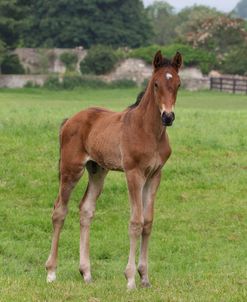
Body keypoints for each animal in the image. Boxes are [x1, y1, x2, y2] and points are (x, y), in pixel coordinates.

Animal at [45, 50, 181, 290]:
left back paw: (86, 273)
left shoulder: (155, 175)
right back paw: (51, 272)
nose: (168, 116)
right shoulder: (133, 173)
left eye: (178, 84)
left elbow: (148, 222)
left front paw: (145, 277)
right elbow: (136, 222)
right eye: (156, 84)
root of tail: (69, 120)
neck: (148, 131)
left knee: (86, 209)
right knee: (59, 210)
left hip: (98, 170)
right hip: (71, 169)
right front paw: (130, 279)